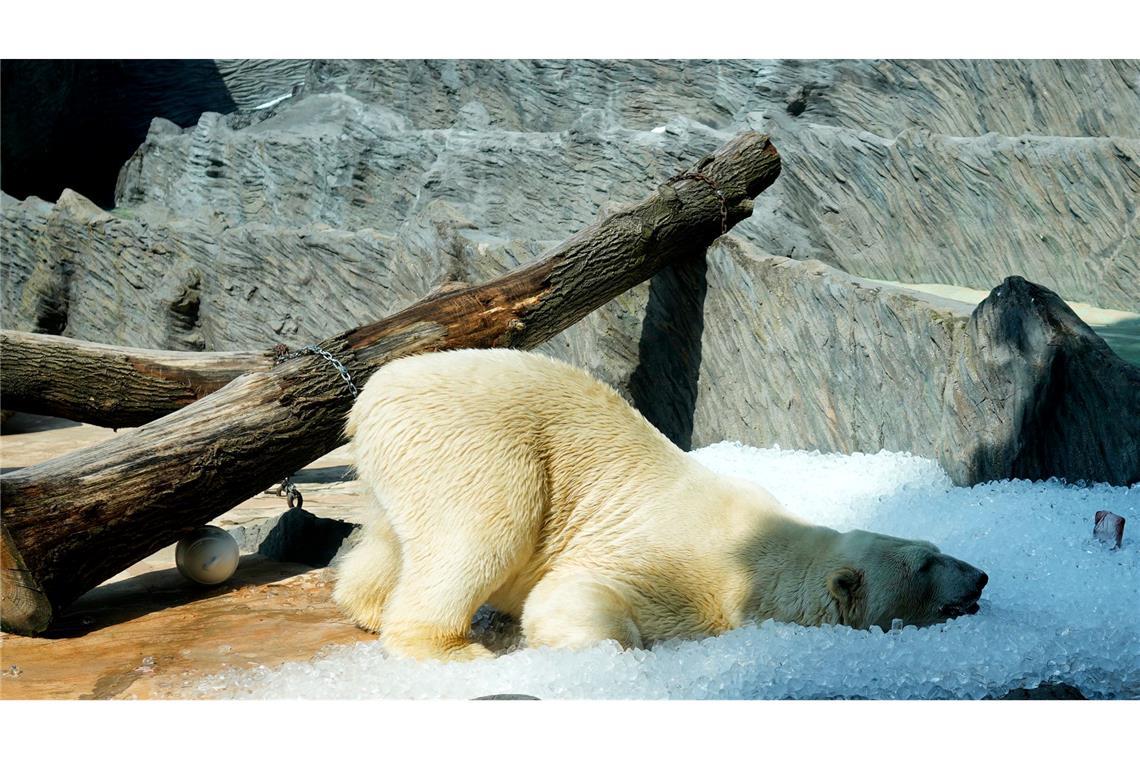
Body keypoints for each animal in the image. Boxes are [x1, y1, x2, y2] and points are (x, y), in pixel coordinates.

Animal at [332, 348, 989, 660]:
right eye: (925, 566)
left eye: (938, 548)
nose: (981, 575)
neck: (759, 554)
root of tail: (373, 393)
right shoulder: (681, 570)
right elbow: (573, 592)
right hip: (478, 444)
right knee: (482, 534)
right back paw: (452, 648)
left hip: (406, 461)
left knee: (398, 538)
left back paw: (368, 606)